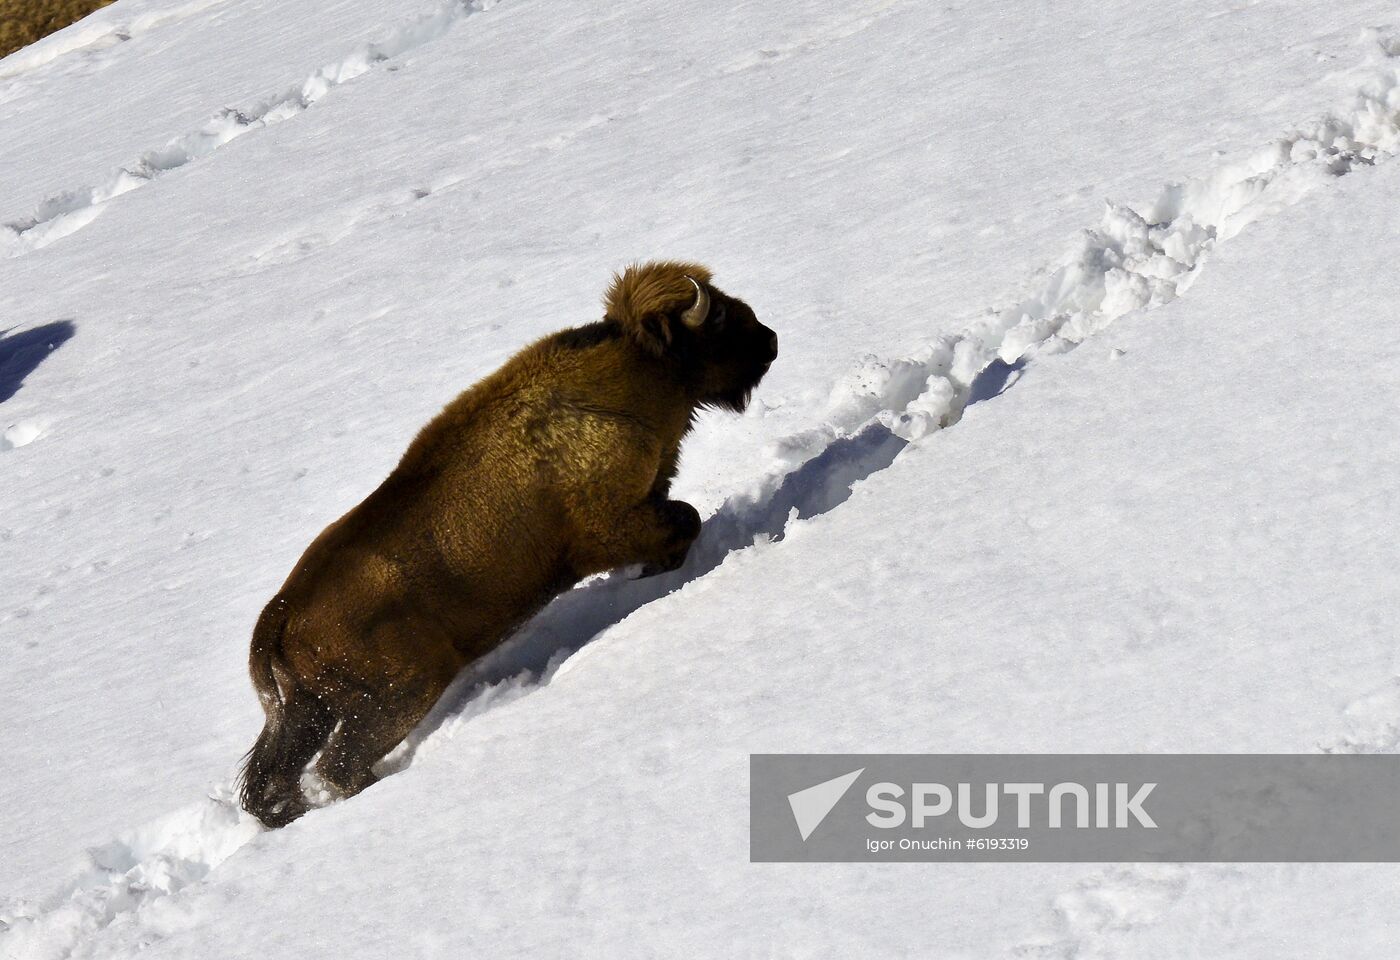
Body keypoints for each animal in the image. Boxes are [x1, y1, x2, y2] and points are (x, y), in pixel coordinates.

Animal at [242, 261, 784, 828]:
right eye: (716, 316)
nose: (770, 340)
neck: (629, 374)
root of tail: (281, 610)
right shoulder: (612, 527)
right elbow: (687, 520)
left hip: (308, 712)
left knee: (278, 777)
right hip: (400, 694)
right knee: (337, 768)